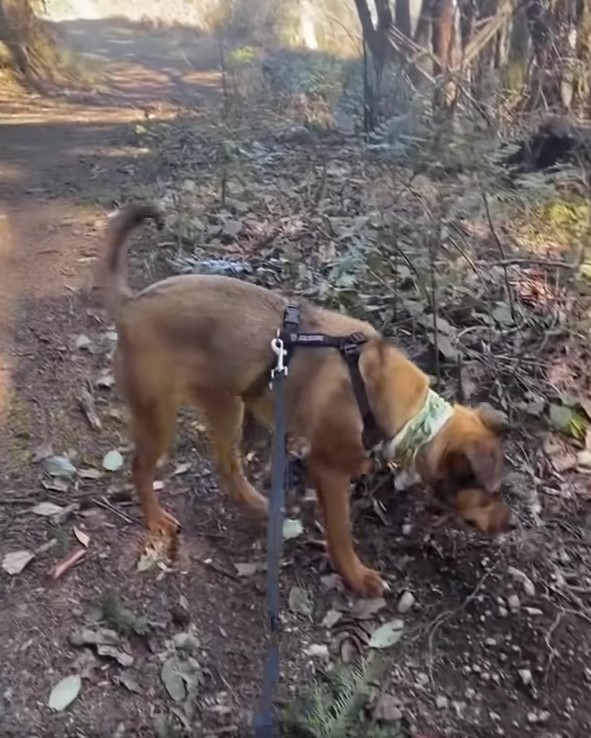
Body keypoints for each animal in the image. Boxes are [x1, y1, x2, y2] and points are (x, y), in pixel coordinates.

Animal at [98, 201, 512, 600]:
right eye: (491, 493)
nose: (510, 524)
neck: (410, 414)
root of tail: (132, 303)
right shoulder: (328, 470)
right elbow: (341, 534)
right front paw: (357, 578)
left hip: (227, 404)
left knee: (227, 468)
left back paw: (262, 507)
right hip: (160, 415)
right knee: (141, 467)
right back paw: (157, 519)